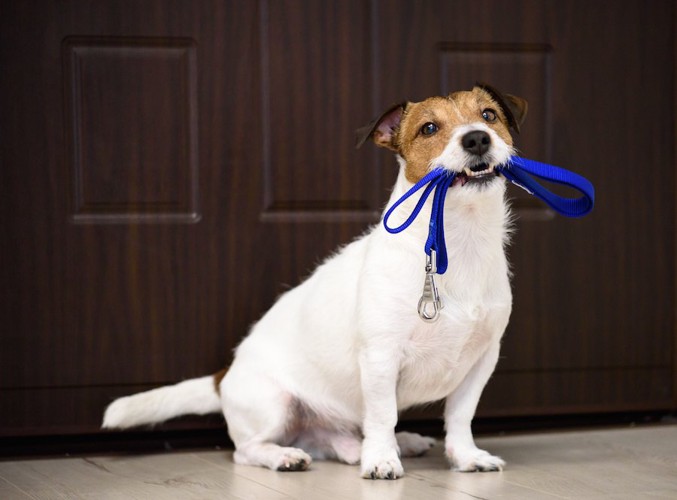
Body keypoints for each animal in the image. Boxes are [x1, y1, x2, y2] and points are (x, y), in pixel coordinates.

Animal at [104, 84, 528, 478]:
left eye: (488, 115)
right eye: (429, 128)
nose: (477, 138)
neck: (461, 242)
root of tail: (224, 377)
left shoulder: (480, 361)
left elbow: (459, 417)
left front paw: (465, 457)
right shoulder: (380, 358)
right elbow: (382, 416)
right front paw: (381, 461)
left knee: (331, 439)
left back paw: (383, 444)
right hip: (274, 404)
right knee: (248, 450)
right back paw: (289, 456)